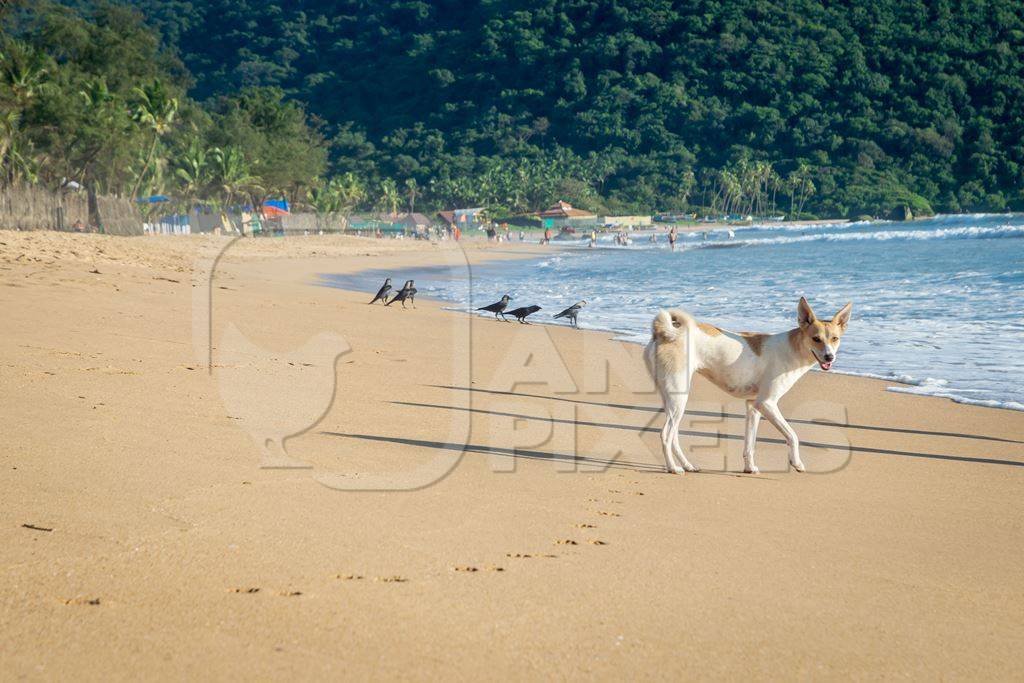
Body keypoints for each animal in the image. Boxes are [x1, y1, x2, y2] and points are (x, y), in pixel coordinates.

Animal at [643, 299, 851, 475]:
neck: (792, 348)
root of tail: (666, 333)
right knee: (665, 435)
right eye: (816, 339)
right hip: (678, 398)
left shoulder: (753, 406)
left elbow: (749, 444)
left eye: (835, 338)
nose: (829, 357)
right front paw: (796, 462)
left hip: (672, 399)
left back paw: (687, 465)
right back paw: (673, 468)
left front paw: (749, 468)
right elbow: (793, 435)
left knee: (674, 437)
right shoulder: (767, 403)